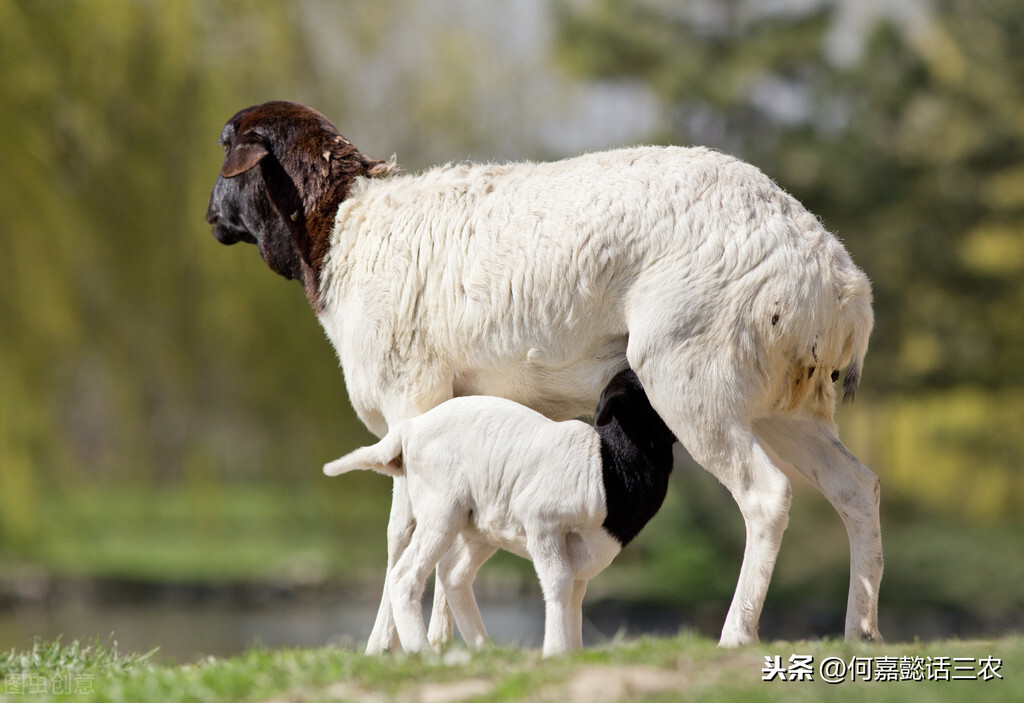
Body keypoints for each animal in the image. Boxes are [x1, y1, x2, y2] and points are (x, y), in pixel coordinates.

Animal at [319, 370, 671, 658]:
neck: (607, 465)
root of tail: (408, 430)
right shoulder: (542, 524)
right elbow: (558, 584)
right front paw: (555, 653)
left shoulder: (581, 555)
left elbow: (575, 595)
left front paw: (572, 654)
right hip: (440, 510)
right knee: (405, 576)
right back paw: (424, 653)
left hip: (481, 525)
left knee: (453, 574)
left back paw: (482, 648)